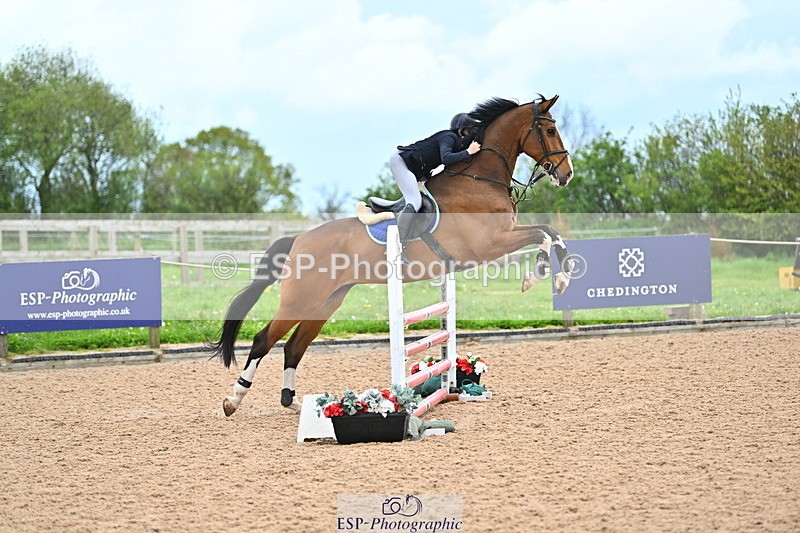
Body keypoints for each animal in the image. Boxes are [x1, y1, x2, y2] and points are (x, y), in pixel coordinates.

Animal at [209, 95, 575, 415]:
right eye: (550, 130)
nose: (566, 173)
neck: (478, 178)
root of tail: (298, 240)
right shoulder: (491, 243)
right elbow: (543, 235)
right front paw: (538, 277)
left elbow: (551, 233)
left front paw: (562, 276)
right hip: (301, 299)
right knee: (263, 340)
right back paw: (233, 400)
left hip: (327, 301)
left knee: (294, 346)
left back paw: (296, 404)